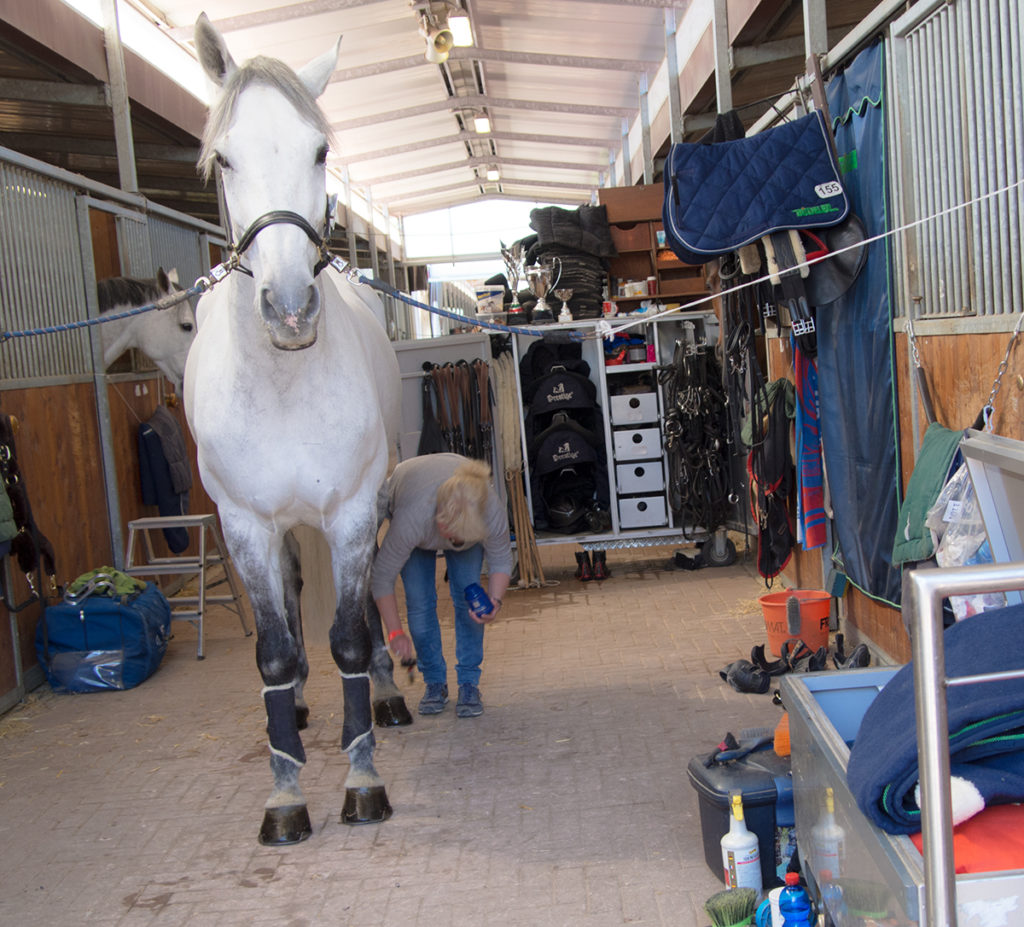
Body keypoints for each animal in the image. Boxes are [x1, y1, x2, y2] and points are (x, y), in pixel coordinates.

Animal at [186, 10, 409, 844]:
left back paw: (383, 693)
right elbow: (275, 652)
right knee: (285, 602)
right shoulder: (244, 524)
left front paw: (362, 777)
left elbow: (348, 632)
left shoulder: (350, 512)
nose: (288, 308)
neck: (282, 383)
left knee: (369, 602)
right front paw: (284, 793)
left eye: (319, 151)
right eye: (224, 156)